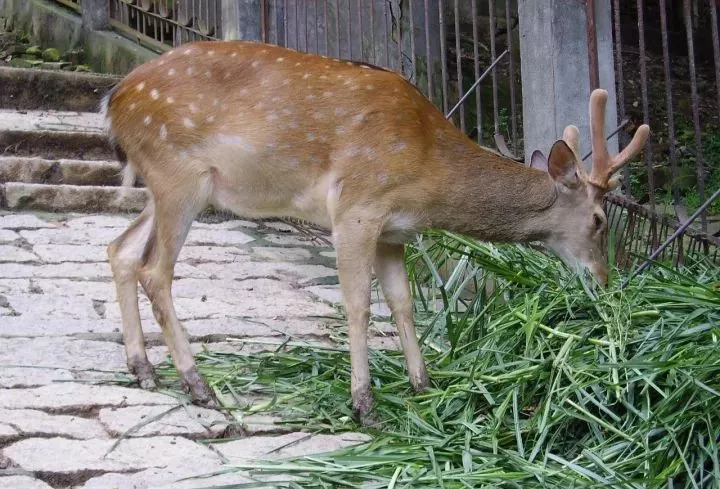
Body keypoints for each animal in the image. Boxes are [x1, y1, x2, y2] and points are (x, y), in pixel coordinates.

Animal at [104, 41, 648, 424]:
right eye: (599, 221)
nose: (605, 281)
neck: (430, 172)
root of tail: (114, 100)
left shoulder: (393, 232)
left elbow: (403, 305)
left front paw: (423, 386)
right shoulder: (357, 208)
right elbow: (359, 305)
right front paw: (363, 404)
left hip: (165, 185)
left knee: (120, 249)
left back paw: (143, 369)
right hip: (180, 175)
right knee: (155, 270)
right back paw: (199, 386)